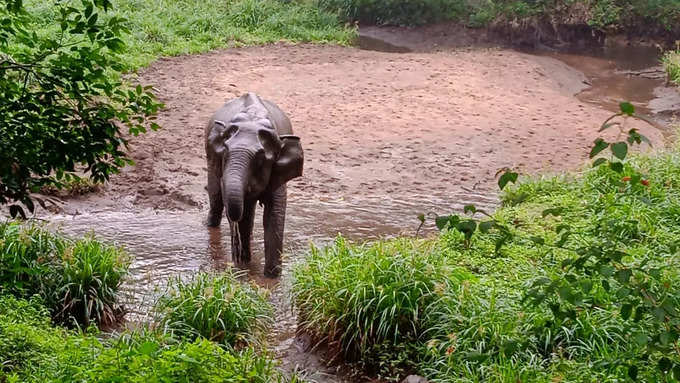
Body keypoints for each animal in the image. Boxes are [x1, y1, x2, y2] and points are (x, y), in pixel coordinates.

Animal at [206, 94, 304, 280]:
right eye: (225, 152)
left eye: (260, 159)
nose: (236, 256)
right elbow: (241, 214)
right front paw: (243, 267)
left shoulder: (277, 173)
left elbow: (274, 214)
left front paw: (272, 277)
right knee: (216, 196)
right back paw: (211, 226)